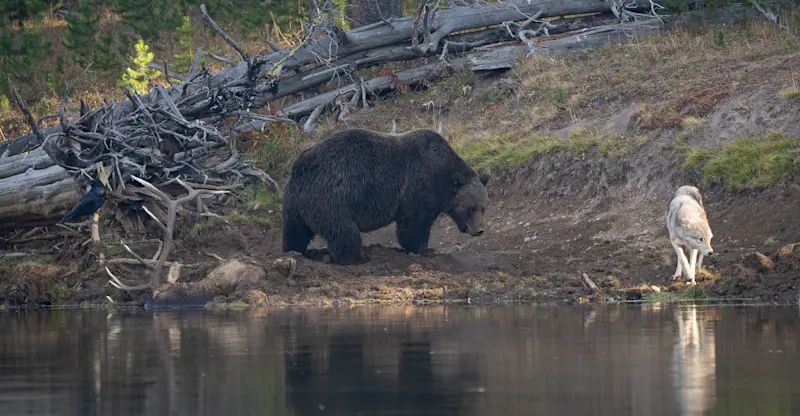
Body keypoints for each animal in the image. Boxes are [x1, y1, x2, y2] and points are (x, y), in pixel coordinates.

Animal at [281, 128, 490, 265]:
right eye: (470, 208)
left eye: (483, 207)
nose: (479, 230)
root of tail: (300, 166)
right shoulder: (417, 189)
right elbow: (414, 226)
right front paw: (426, 249)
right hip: (332, 198)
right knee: (344, 230)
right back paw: (357, 257)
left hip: (296, 203)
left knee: (295, 231)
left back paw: (295, 252)